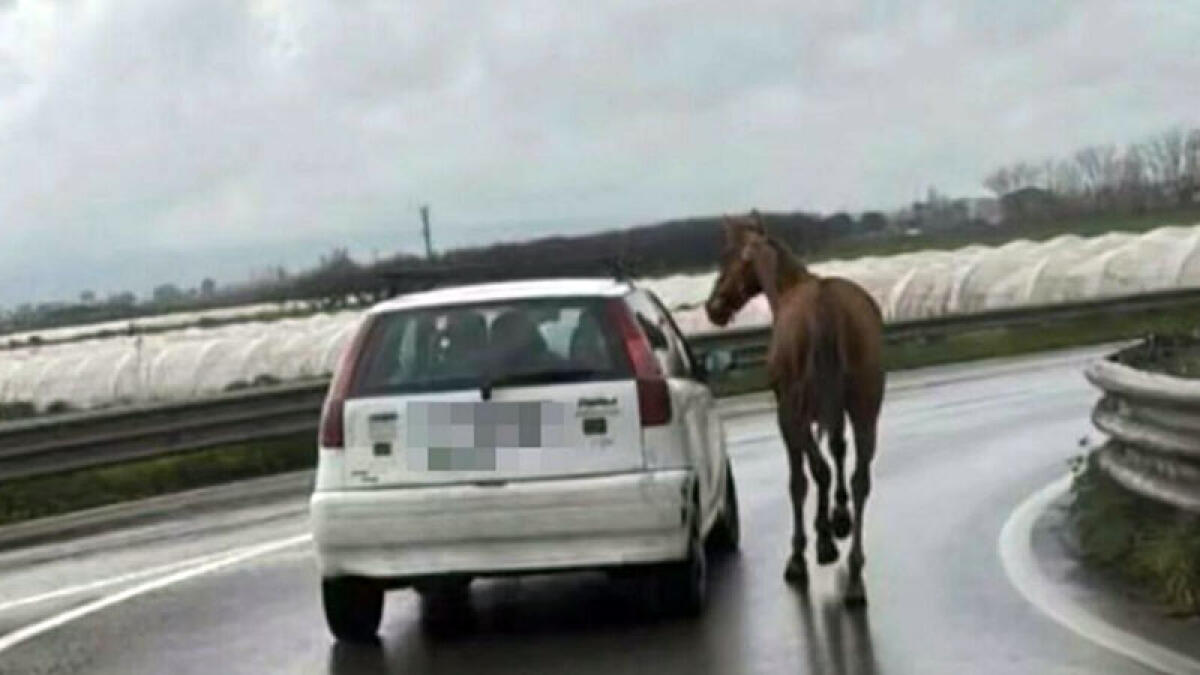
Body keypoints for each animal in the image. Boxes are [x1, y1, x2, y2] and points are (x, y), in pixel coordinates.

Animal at [704, 211, 885, 606]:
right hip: (866, 408)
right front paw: (839, 518)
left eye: (726, 255)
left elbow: (803, 478)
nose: (713, 308)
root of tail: (825, 306)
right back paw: (855, 574)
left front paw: (811, 546)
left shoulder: (788, 414)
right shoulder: (834, 412)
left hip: (795, 409)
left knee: (815, 472)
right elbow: (838, 452)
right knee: (861, 478)